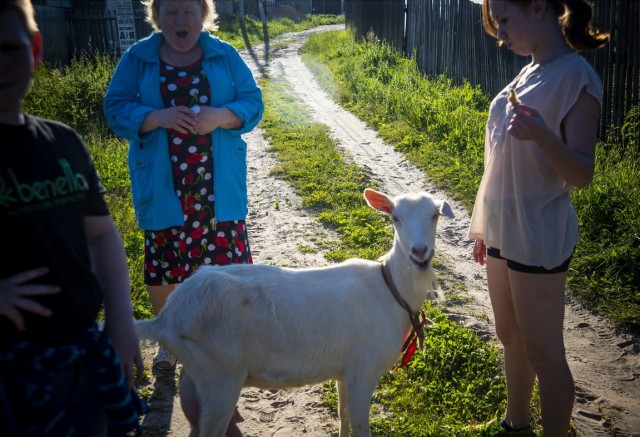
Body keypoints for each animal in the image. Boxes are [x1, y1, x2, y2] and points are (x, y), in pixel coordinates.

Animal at [136, 188, 456, 436]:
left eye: (435, 215)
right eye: (395, 218)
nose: (420, 253)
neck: (391, 290)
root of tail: (166, 319)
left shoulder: (346, 370)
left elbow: (343, 415)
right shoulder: (363, 371)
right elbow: (361, 426)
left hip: (201, 372)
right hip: (219, 374)